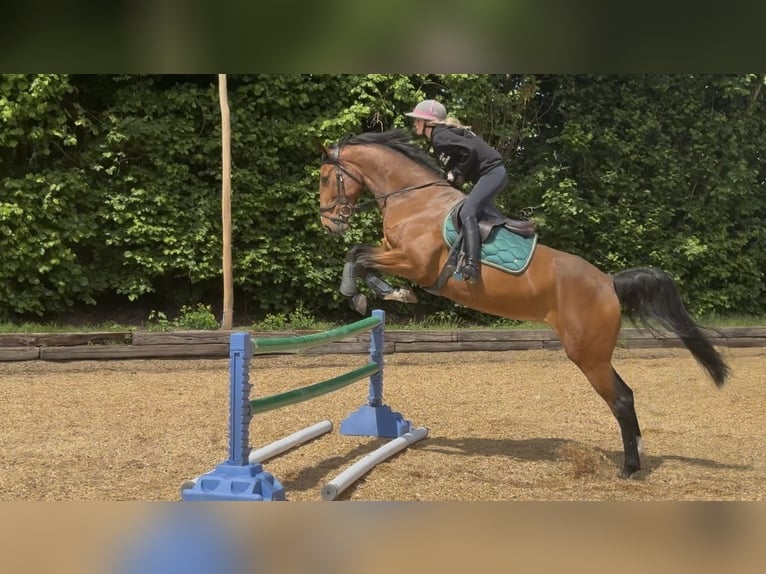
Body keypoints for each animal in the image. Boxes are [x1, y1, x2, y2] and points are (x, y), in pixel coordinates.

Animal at [317, 129, 730, 478]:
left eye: (324, 178)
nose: (329, 225)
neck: (413, 198)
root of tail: (609, 283)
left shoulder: (412, 262)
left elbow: (358, 255)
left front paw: (362, 294)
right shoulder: (393, 253)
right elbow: (361, 255)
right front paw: (383, 292)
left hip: (587, 355)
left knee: (621, 400)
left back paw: (628, 468)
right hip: (593, 353)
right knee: (625, 395)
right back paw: (637, 457)